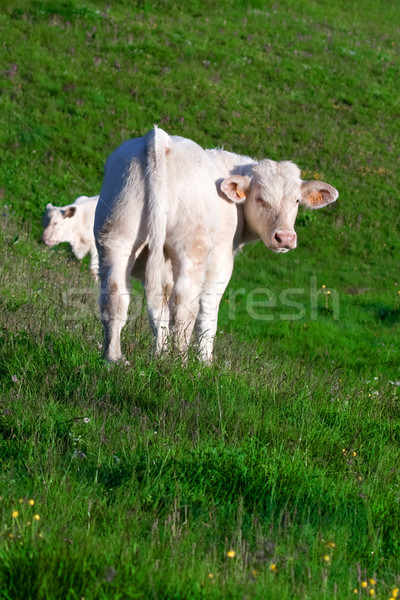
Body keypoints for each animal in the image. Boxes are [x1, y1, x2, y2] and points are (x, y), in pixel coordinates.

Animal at [95, 129, 340, 364]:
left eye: (297, 201)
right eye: (260, 198)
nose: (285, 237)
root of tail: (158, 138)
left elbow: (160, 310)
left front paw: (159, 355)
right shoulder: (221, 261)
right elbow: (207, 314)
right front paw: (204, 362)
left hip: (116, 237)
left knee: (115, 296)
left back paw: (113, 359)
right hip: (192, 250)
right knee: (185, 305)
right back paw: (179, 363)